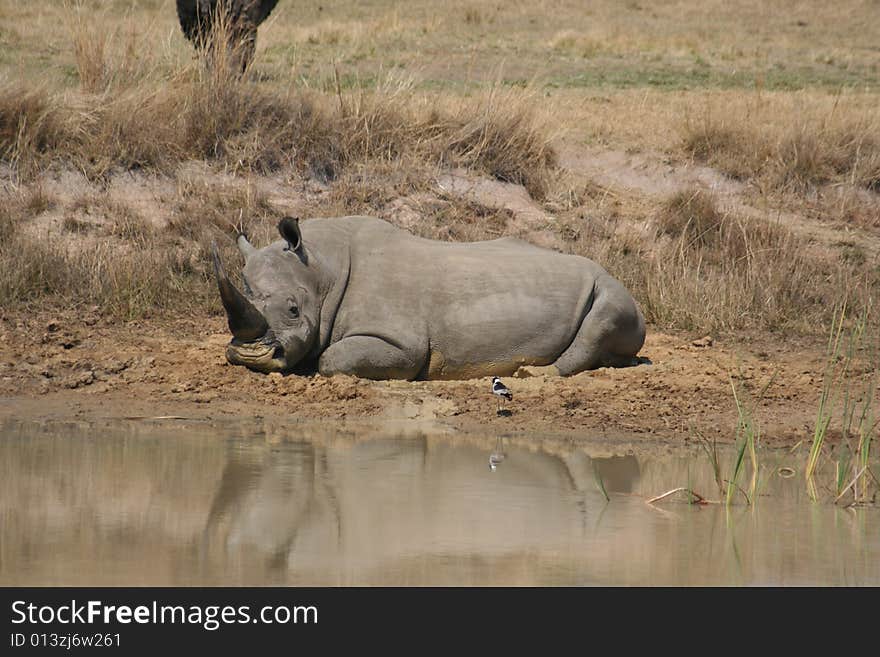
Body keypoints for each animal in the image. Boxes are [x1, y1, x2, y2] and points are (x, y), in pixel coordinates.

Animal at [210, 217, 644, 380]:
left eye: (293, 310)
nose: (250, 358)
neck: (320, 267)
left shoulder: (402, 342)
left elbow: (334, 360)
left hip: (611, 287)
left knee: (603, 316)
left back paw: (533, 374)